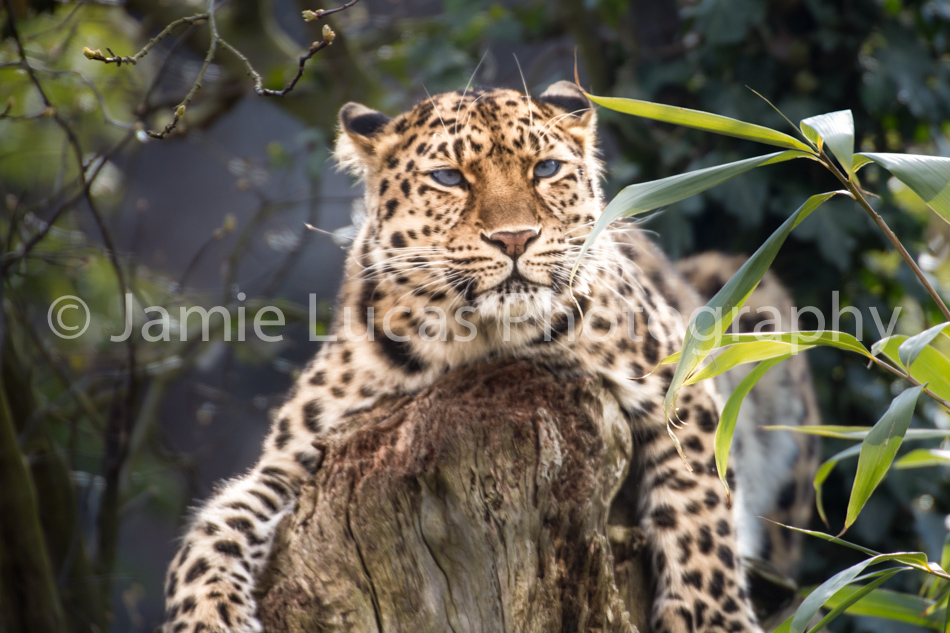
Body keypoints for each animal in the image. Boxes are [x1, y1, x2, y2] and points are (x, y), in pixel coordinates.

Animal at [161, 81, 819, 633]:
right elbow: (214, 526)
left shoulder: (679, 380)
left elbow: (699, 504)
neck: (476, 339)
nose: (514, 238)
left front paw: (715, 618)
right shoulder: (293, 458)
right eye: (449, 177)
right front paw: (205, 617)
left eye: (546, 169)